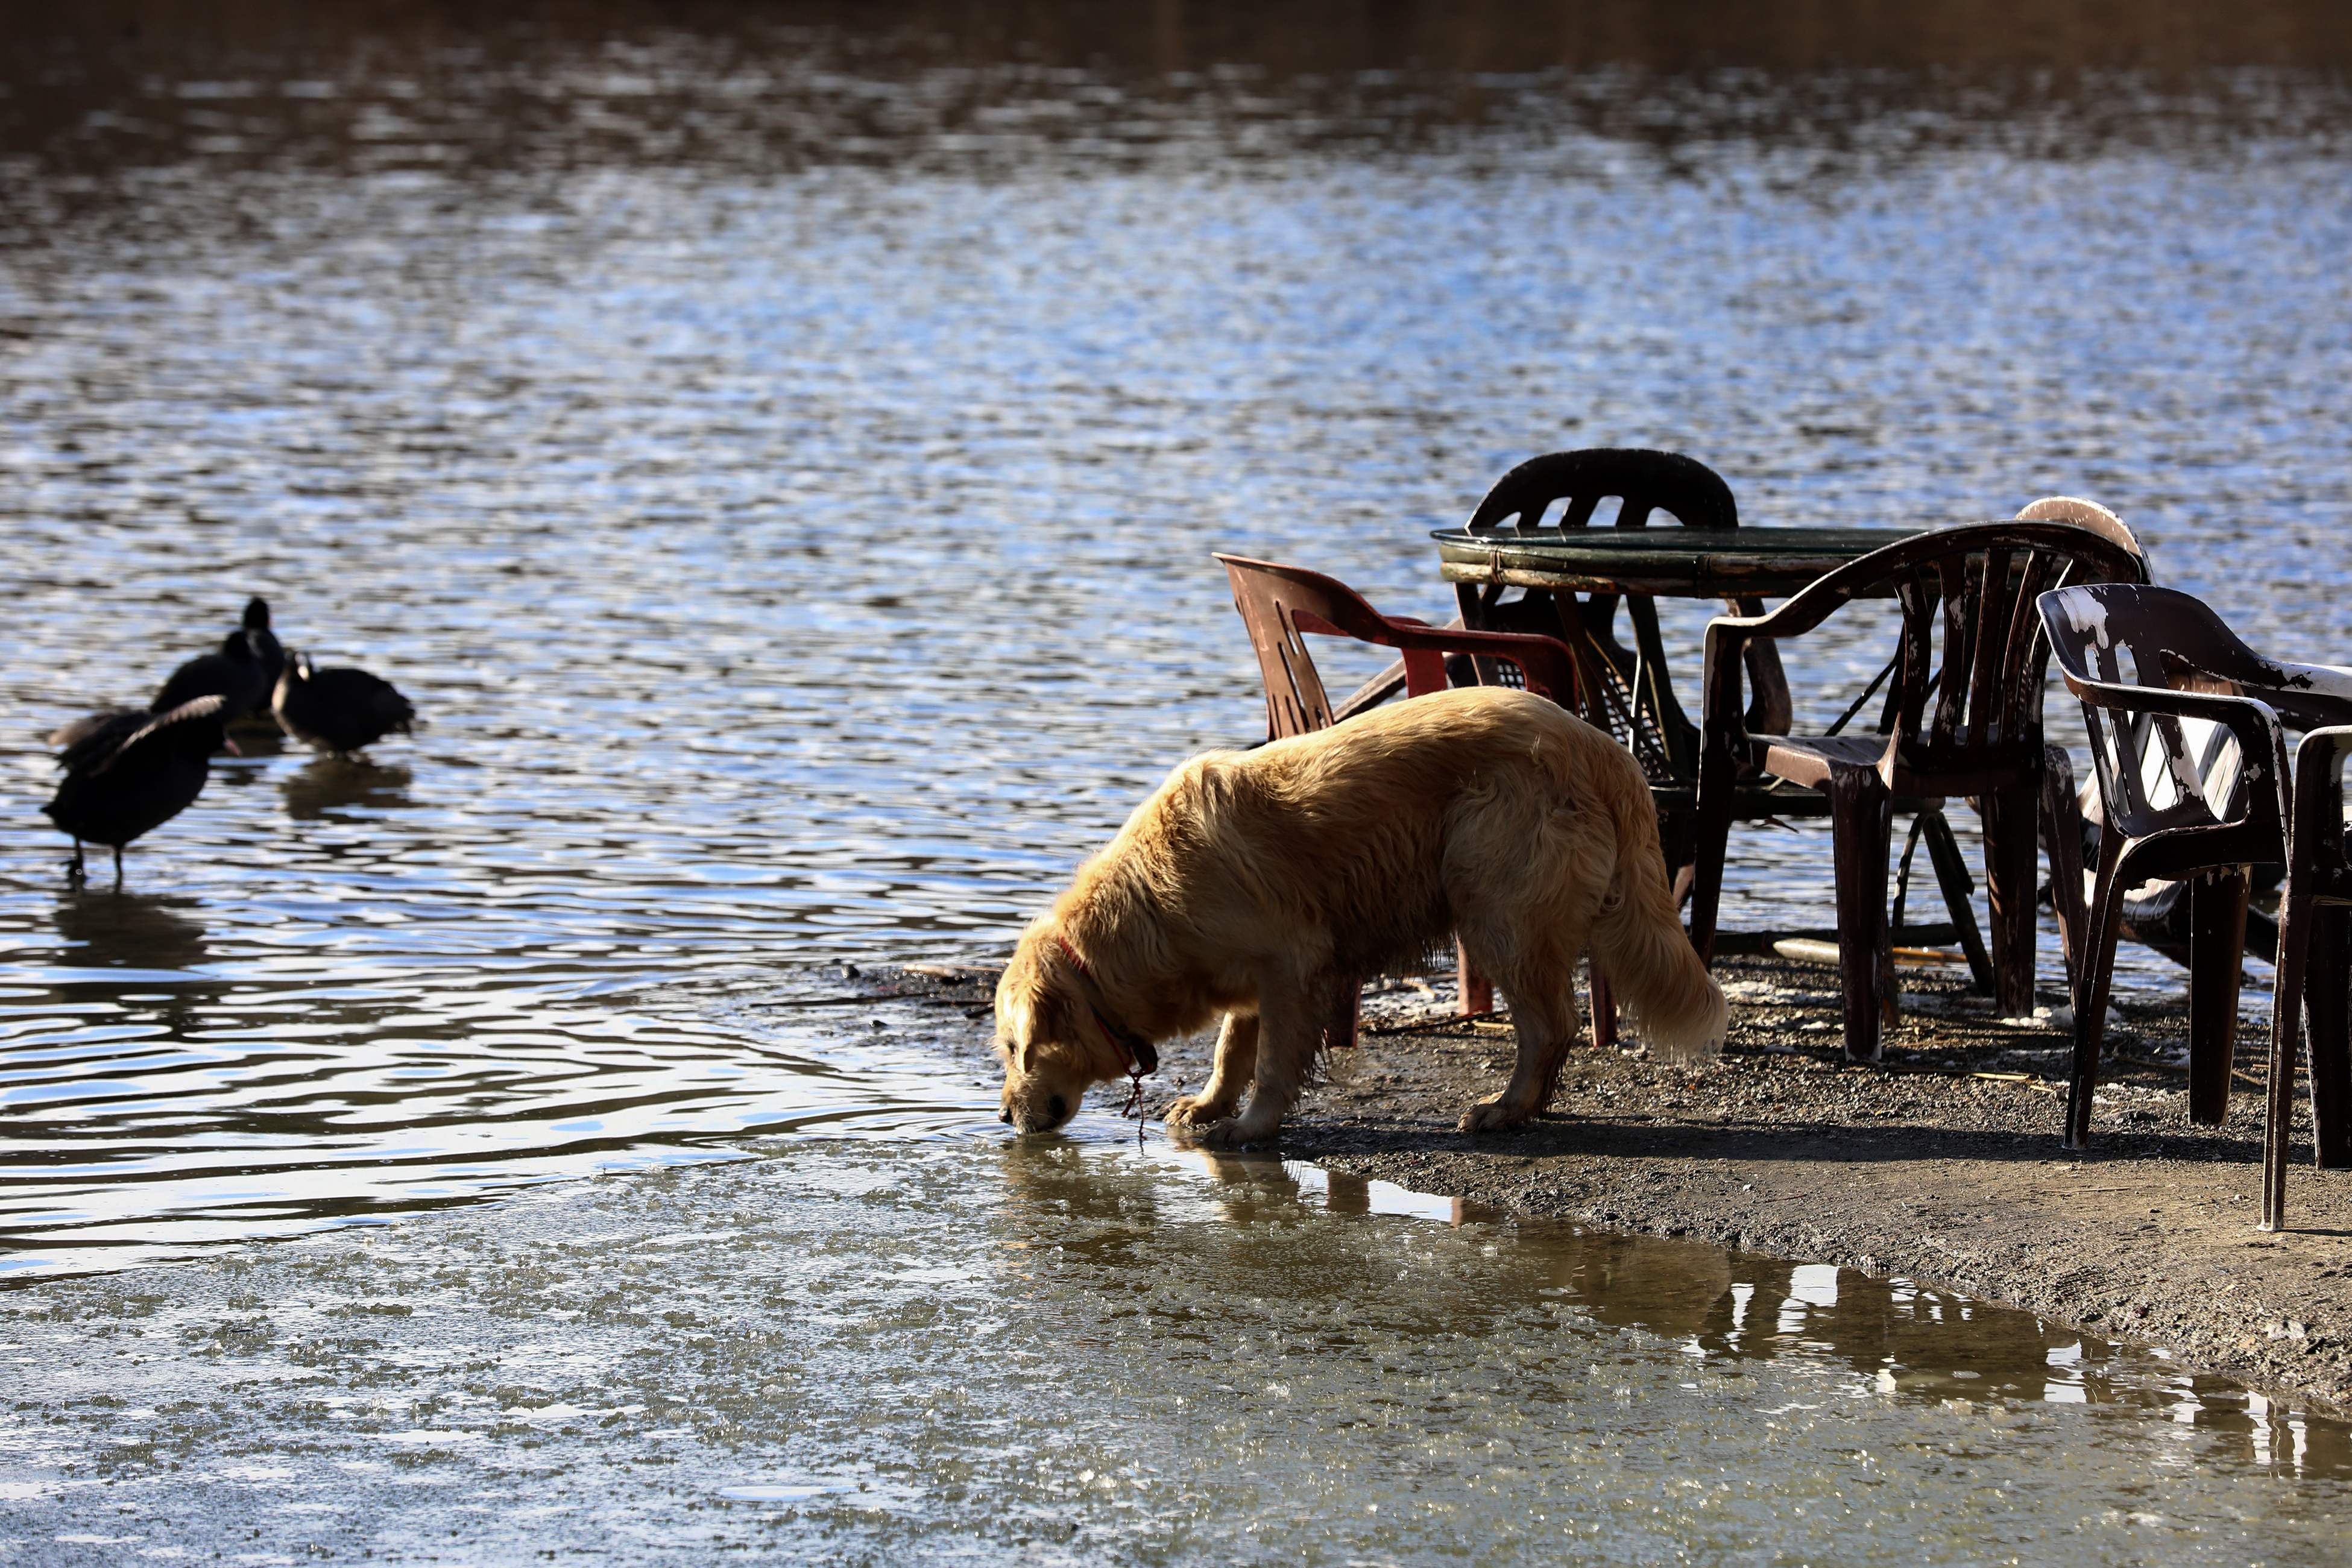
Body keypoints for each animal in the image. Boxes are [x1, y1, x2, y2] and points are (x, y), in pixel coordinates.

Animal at [992, 681, 1731, 1142]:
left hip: (1494, 904)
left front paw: (1251, 1126)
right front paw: (1207, 1104)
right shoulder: (1253, 975)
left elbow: (1272, 1062)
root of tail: (1604, 749)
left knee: (1550, 1025)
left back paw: (1505, 1109)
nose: (1001, 1118)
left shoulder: (1291, 962)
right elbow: (1232, 1048)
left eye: (1011, 1049)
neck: (1147, 904)